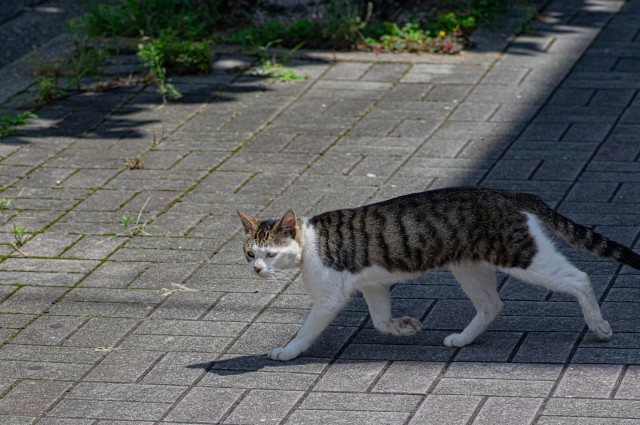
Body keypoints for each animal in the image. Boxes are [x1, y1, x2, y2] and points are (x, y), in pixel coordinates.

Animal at [236, 187, 640, 360]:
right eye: (250, 253)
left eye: (271, 254)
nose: (256, 269)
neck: (309, 243)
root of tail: (505, 192)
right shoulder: (374, 285)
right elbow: (380, 321)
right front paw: (404, 327)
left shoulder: (329, 297)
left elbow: (306, 331)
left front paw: (287, 351)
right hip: (469, 268)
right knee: (492, 305)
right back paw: (463, 339)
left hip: (522, 256)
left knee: (580, 279)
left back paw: (600, 326)